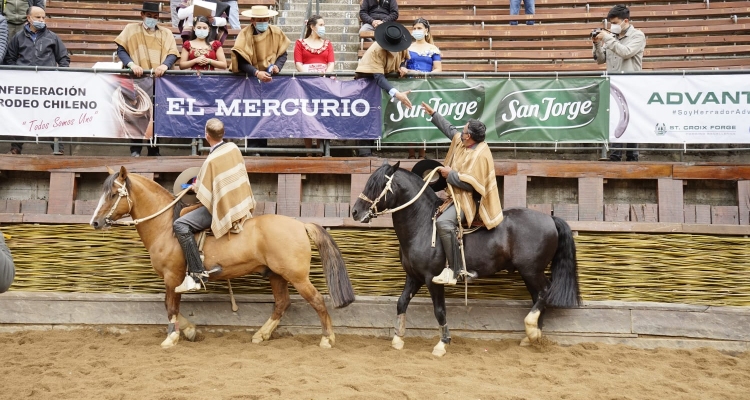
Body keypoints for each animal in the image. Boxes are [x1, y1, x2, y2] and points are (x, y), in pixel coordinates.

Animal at [90, 167, 356, 348]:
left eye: (113, 194)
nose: (95, 222)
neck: (166, 226)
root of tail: (300, 225)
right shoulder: (173, 278)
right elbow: (171, 306)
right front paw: (189, 330)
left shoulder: (172, 276)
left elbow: (170, 306)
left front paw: (173, 336)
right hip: (277, 275)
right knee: (282, 303)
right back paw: (261, 334)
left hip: (297, 277)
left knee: (317, 301)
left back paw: (327, 339)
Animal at [350, 162, 584, 356]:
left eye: (377, 185)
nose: (355, 211)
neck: (423, 225)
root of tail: (551, 218)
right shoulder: (413, 277)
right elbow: (401, 303)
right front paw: (398, 339)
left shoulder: (432, 280)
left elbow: (439, 311)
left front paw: (442, 343)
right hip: (529, 273)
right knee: (538, 296)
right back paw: (532, 336)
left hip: (532, 270)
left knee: (545, 292)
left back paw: (533, 331)